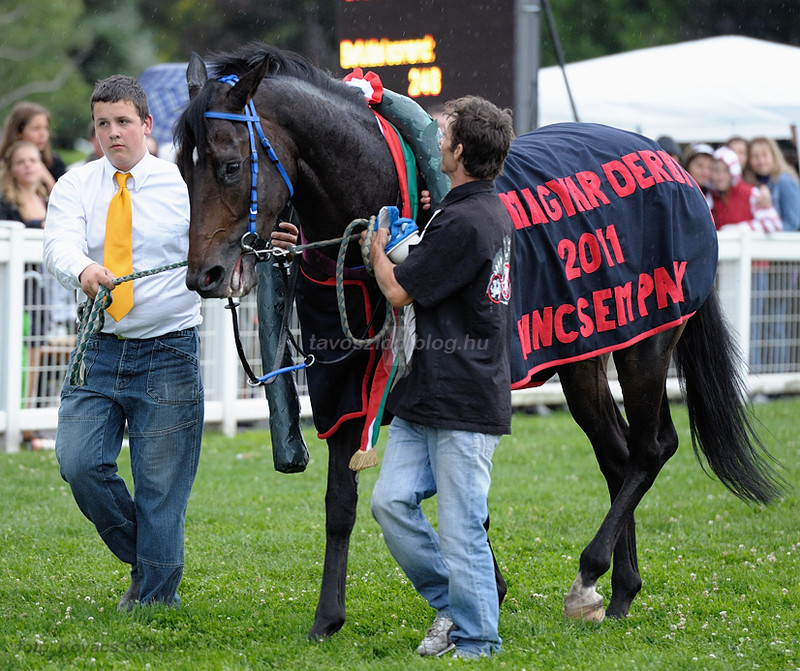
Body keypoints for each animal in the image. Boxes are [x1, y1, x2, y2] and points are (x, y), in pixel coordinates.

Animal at [173, 43, 780, 640]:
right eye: (181, 168)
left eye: (230, 165)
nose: (204, 275)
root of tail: (672, 165)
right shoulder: (346, 387)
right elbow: (342, 501)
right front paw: (329, 618)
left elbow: (459, 491)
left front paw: (482, 591)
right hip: (583, 354)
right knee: (618, 452)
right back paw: (621, 592)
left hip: (646, 342)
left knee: (650, 450)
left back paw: (590, 574)